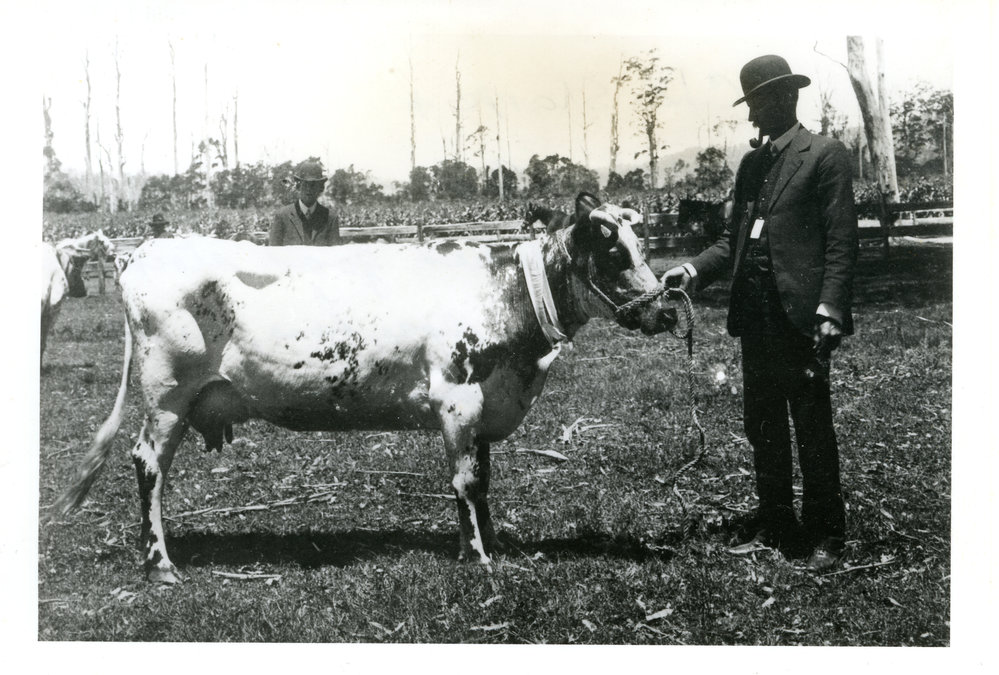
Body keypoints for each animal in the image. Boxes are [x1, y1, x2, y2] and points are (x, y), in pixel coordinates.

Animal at [54, 193, 677, 584]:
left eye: (644, 246)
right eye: (614, 252)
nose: (666, 312)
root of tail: (146, 250)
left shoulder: (486, 403)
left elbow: (483, 479)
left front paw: (492, 542)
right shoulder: (457, 398)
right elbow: (465, 482)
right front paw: (476, 557)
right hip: (167, 396)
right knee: (147, 465)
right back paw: (160, 564)